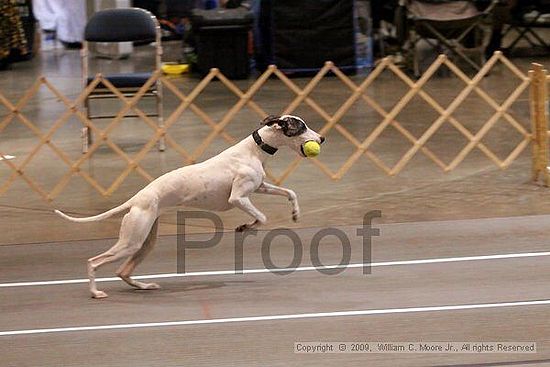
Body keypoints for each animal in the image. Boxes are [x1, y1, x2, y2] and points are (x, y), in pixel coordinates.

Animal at [55, 115, 324, 300]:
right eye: (300, 126)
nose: (322, 139)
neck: (252, 150)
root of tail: (137, 199)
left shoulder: (259, 187)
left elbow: (290, 192)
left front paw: (295, 213)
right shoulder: (238, 198)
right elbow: (262, 217)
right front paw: (246, 226)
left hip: (144, 241)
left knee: (123, 271)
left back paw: (145, 286)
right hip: (131, 241)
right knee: (94, 262)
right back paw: (96, 292)